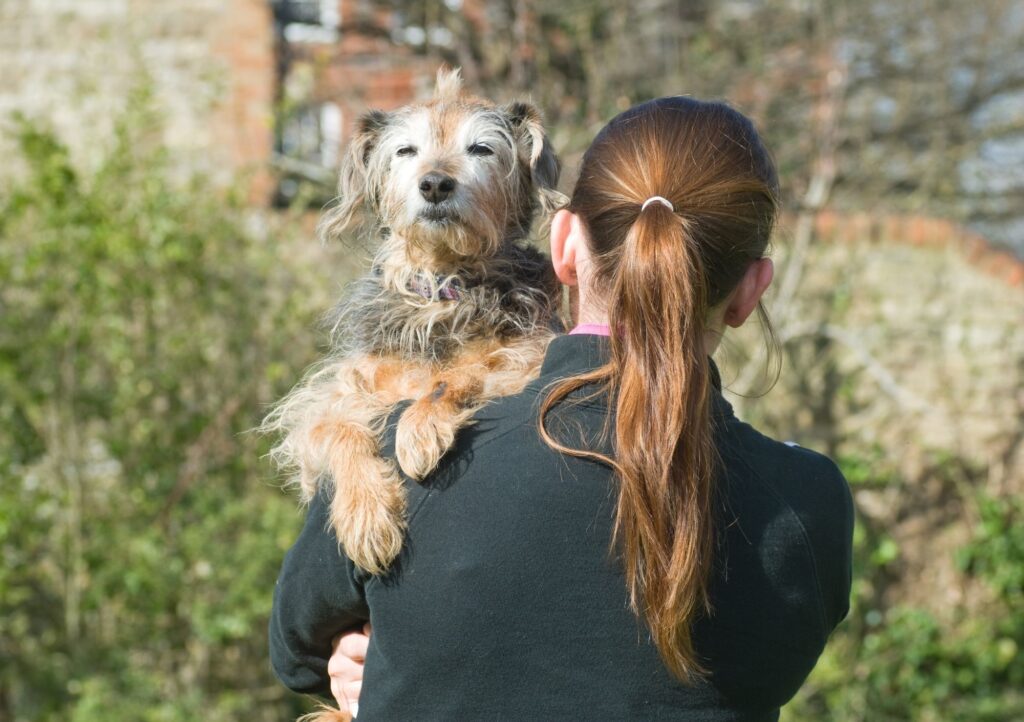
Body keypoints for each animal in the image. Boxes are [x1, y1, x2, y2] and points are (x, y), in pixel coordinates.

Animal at [262, 67, 569, 589]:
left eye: (481, 149)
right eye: (406, 151)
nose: (435, 184)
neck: (440, 288)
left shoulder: (530, 352)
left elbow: (460, 374)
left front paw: (419, 431)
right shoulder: (322, 403)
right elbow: (339, 429)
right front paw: (366, 517)